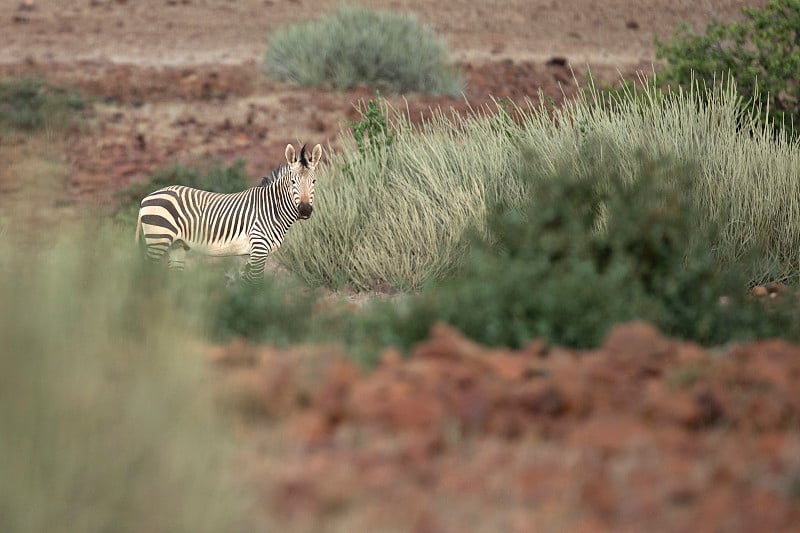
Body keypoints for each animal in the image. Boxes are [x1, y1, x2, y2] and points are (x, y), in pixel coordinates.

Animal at [136, 141, 324, 282]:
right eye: (293, 181)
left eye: (314, 181)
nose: (305, 210)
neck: (272, 209)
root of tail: (146, 198)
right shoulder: (259, 248)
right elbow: (256, 282)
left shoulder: (253, 252)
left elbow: (247, 281)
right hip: (158, 239)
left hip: (177, 245)